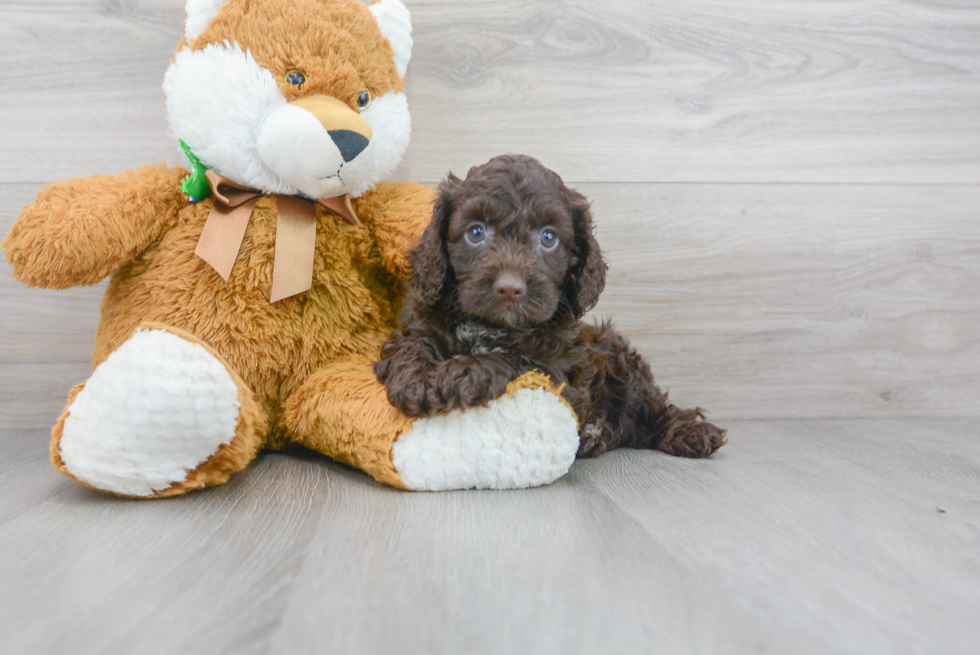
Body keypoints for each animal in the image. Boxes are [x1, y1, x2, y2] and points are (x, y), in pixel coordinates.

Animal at [376, 156, 728, 458]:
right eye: (476, 232)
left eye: (548, 238)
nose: (510, 287)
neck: (493, 326)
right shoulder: (417, 327)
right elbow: (410, 348)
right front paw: (417, 382)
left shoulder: (558, 369)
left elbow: (511, 359)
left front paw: (461, 373)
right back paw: (596, 435)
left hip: (623, 365)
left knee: (654, 409)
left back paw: (689, 433)